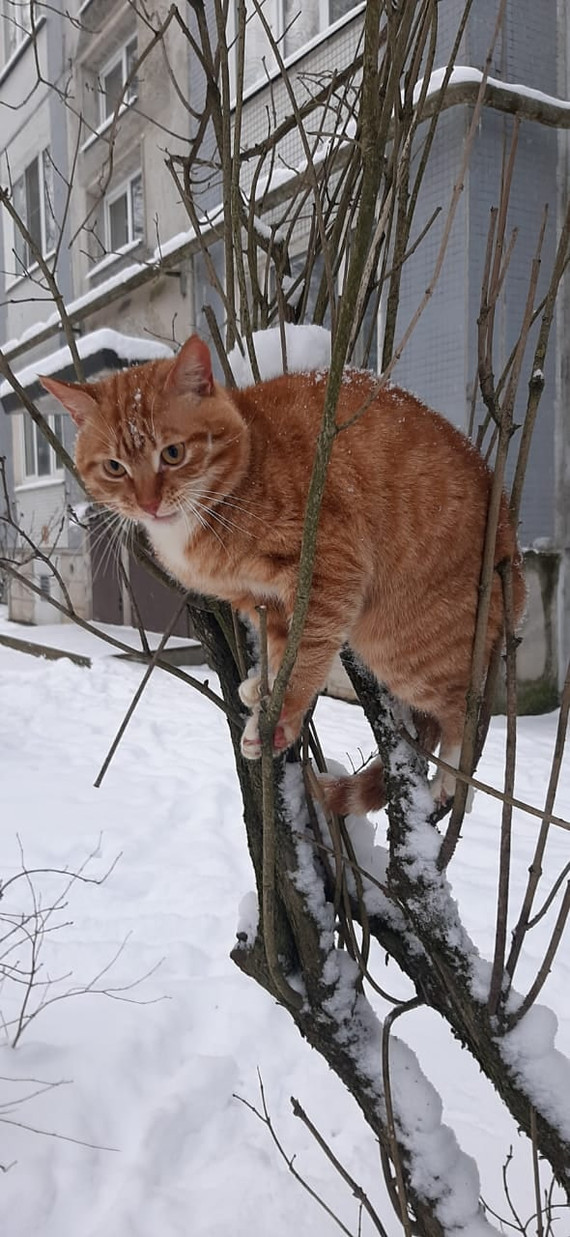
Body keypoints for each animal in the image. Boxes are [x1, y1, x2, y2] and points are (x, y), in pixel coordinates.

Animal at [41, 333, 524, 806]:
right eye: (114, 468)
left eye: (173, 454)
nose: (148, 503)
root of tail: (511, 544)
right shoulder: (263, 600)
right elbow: (279, 647)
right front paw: (264, 690)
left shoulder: (329, 570)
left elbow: (306, 651)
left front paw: (284, 711)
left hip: (401, 642)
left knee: (461, 708)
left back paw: (451, 781)